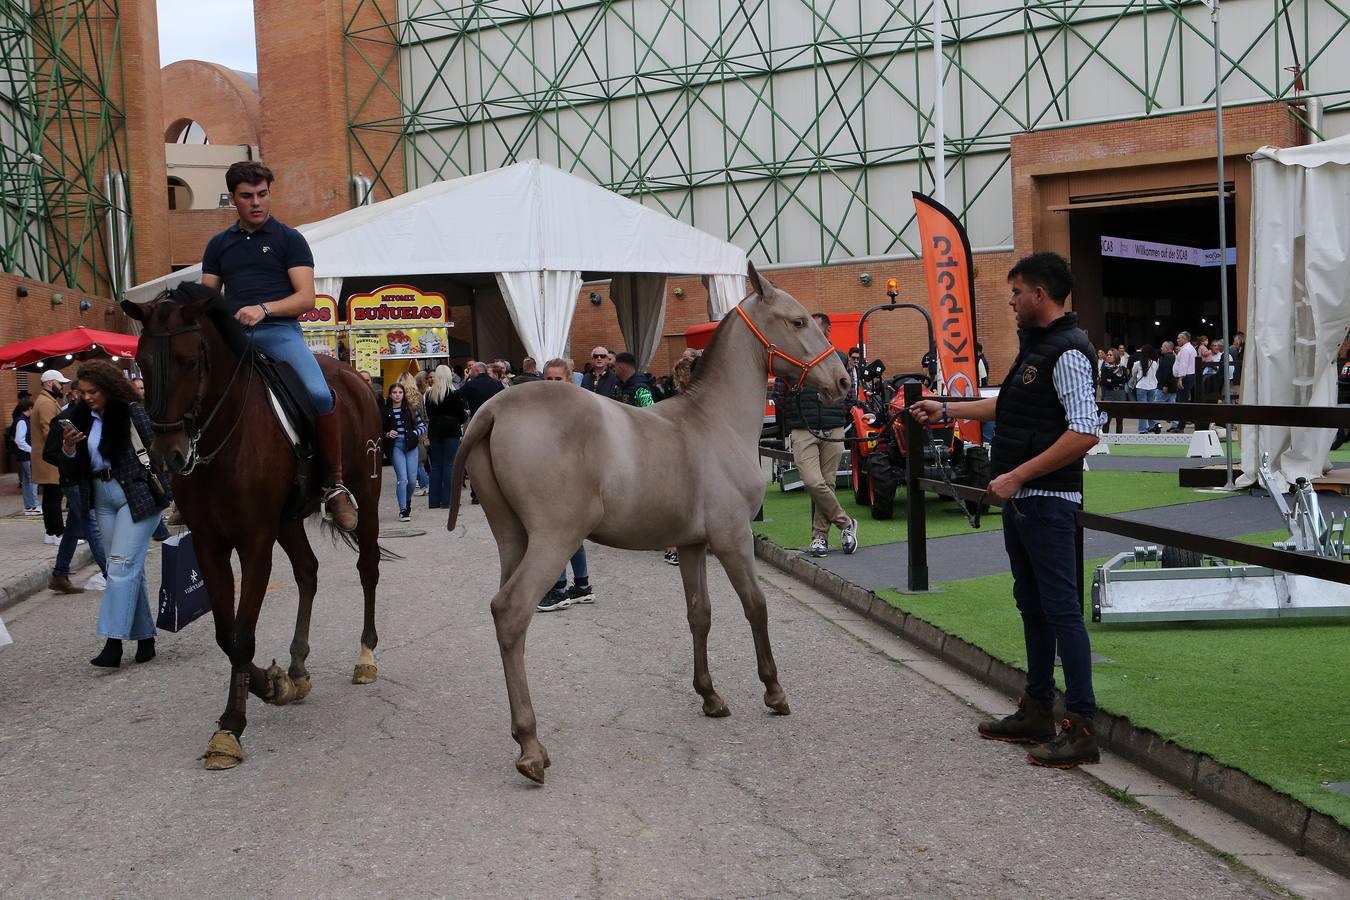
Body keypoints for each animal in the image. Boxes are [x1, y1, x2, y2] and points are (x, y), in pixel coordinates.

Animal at [124, 284, 386, 771]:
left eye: (189, 360)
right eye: (142, 361)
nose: (168, 454)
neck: (223, 439)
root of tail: (355, 377)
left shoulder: (254, 542)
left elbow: (242, 636)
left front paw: (232, 725)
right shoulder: (210, 544)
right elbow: (226, 634)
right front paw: (274, 683)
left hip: (368, 495)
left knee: (368, 568)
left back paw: (365, 656)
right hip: (288, 520)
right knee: (307, 572)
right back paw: (298, 666)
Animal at [448, 265, 847, 782]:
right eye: (798, 321)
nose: (842, 380)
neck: (712, 422)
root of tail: (494, 408)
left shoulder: (693, 545)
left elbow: (700, 614)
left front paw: (710, 695)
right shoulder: (733, 539)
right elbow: (755, 607)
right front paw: (774, 691)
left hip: (513, 539)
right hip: (554, 539)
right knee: (511, 612)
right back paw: (530, 745)